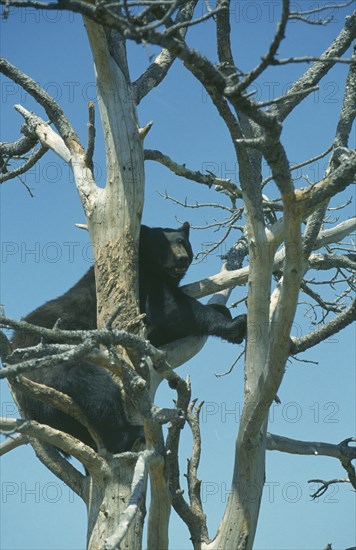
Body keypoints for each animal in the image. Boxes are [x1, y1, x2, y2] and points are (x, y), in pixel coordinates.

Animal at [10, 223, 245, 458]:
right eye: (165, 245)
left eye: (182, 242)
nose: (181, 259)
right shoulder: (144, 282)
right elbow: (171, 308)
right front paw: (233, 325)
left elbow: (160, 332)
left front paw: (223, 311)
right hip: (50, 364)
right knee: (92, 385)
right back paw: (128, 434)